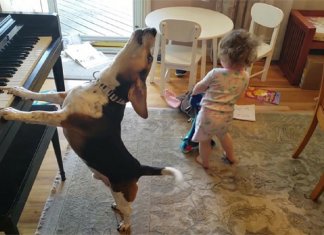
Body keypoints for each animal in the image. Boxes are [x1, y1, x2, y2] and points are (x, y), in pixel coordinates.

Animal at [0, 28, 182, 233]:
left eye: (150, 58)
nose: (153, 30)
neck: (104, 89)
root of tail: (137, 167)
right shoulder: (62, 97)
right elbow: (41, 94)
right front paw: (18, 90)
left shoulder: (63, 118)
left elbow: (37, 114)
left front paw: (10, 112)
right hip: (110, 186)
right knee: (120, 204)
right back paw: (116, 208)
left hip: (121, 191)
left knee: (129, 210)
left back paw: (125, 223)